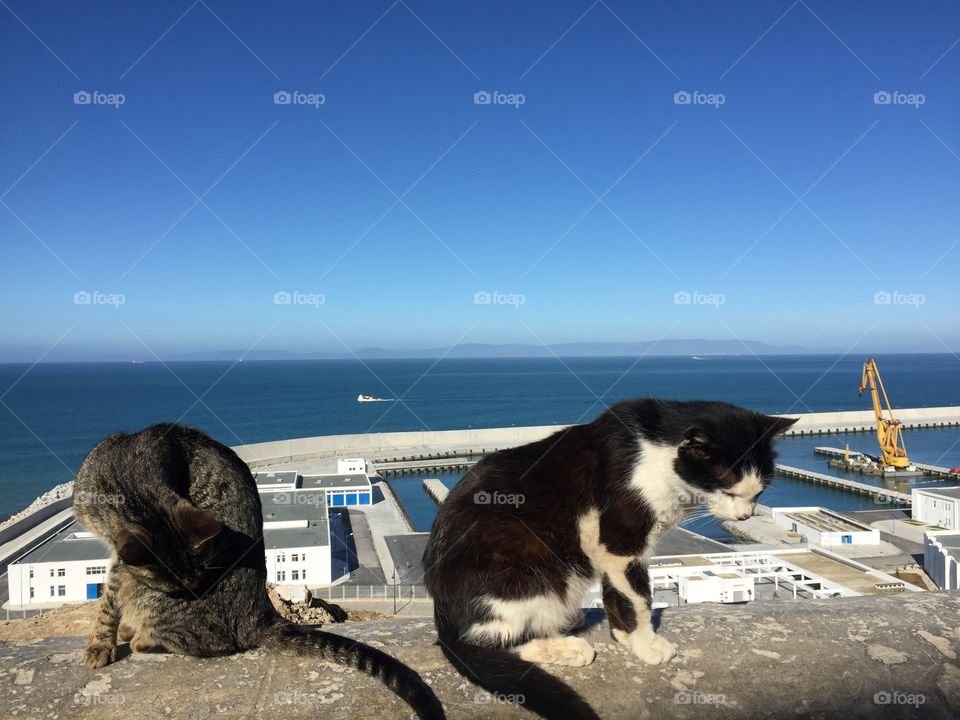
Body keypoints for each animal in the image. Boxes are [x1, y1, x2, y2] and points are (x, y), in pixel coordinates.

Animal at [74, 422, 442, 720]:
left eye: (194, 581)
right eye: (181, 582)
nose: (194, 588)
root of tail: (259, 616)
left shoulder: (124, 560)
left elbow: (109, 597)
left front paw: (100, 644)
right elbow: (109, 594)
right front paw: (105, 639)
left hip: (161, 606)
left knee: (203, 643)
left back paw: (142, 638)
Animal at [426, 400, 796, 720]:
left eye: (760, 491)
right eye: (729, 490)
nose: (746, 516)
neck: (657, 454)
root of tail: (444, 618)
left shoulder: (608, 548)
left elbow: (617, 593)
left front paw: (623, 636)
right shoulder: (621, 541)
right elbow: (640, 599)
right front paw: (647, 644)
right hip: (523, 572)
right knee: (496, 640)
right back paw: (568, 648)